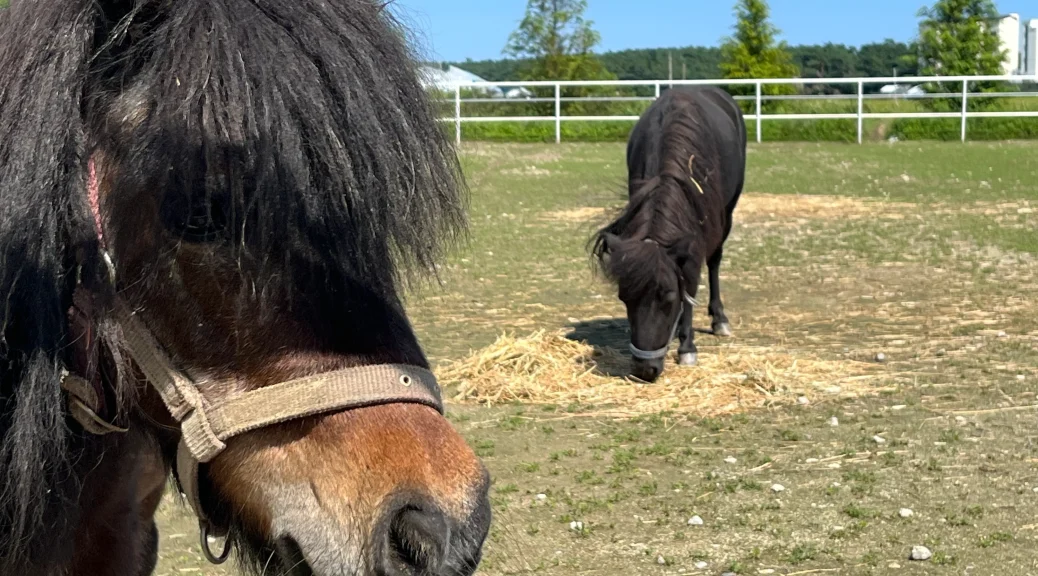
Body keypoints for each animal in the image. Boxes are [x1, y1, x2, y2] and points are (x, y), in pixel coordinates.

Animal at [593, 85, 747, 384]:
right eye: (623, 298)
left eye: (668, 298)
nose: (645, 370)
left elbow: (691, 283)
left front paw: (687, 348)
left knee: (715, 262)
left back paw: (719, 320)